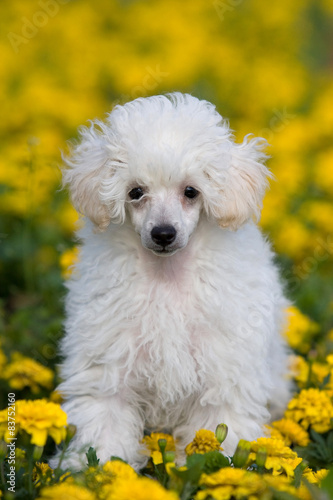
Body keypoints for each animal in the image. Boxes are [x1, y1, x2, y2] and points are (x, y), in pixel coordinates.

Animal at [53, 92, 288, 470]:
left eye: (191, 192)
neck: (167, 275)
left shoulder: (224, 369)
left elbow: (222, 426)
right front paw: (95, 468)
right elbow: (105, 418)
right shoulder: (109, 361)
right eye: (135, 192)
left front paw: (220, 467)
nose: (163, 233)